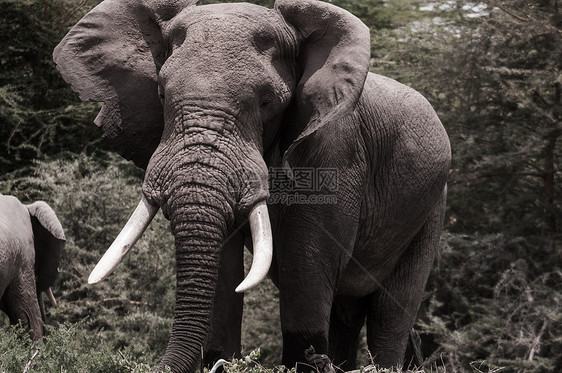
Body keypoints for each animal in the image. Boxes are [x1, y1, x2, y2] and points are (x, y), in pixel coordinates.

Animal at [54, 0, 450, 370]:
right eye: (162, 95)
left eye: (266, 102)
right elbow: (225, 265)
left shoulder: (336, 148)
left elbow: (306, 261)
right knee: (346, 313)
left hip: (432, 204)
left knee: (390, 311)